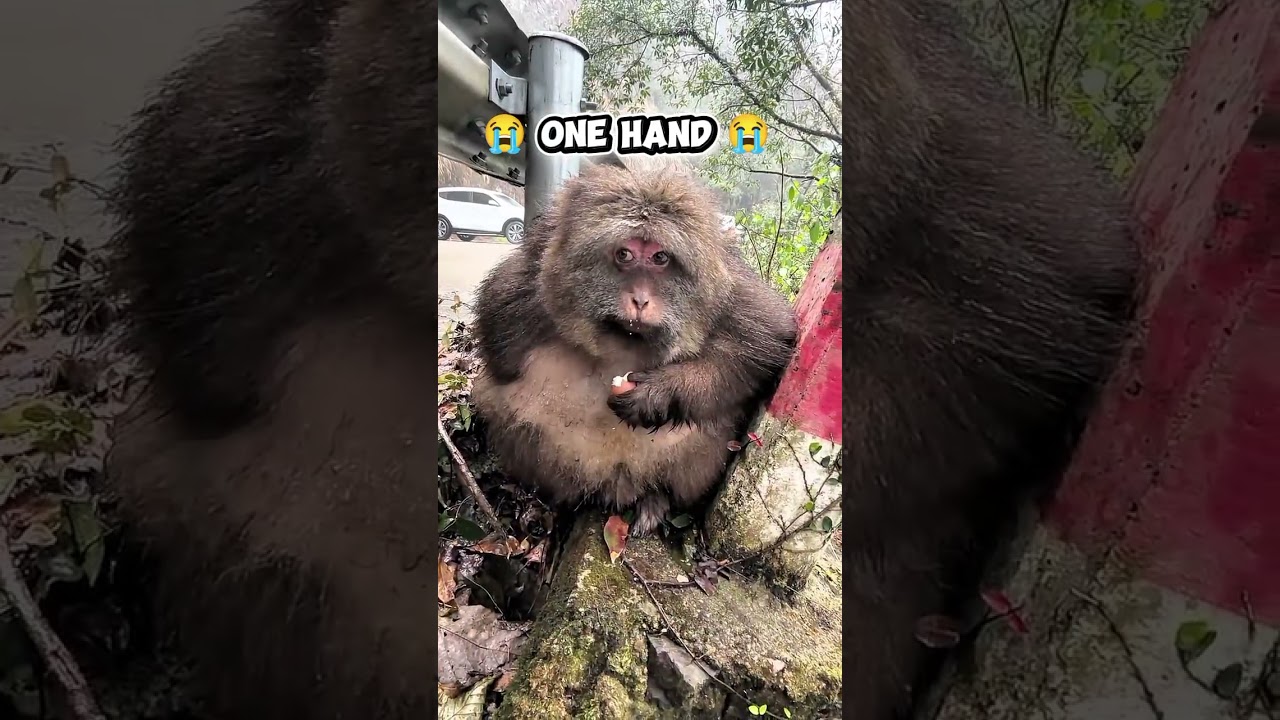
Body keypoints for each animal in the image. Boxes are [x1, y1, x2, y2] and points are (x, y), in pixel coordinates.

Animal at [470, 163, 798, 537]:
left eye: (660, 257)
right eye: (624, 254)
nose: (640, 300)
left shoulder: (728, 288)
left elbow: (763, 343)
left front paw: (658, 393)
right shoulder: (530, 276)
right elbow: (498, 343)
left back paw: (657, 498)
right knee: (509, 410)